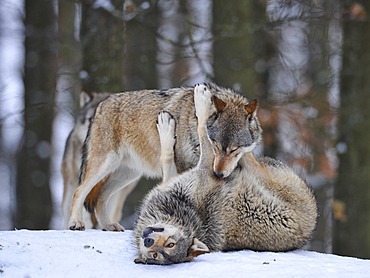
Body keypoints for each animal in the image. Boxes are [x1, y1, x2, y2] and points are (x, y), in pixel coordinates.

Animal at [69, 83, 262, 231]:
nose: (219, 174)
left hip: (128, 175)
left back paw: (108, 225)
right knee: (79, 191)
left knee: (100, 196)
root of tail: (101, 105)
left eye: (234, 150)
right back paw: (76, 223)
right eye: (215, 145)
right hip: (104, 166)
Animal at [134, 83, 318, 264]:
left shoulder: (202, 169)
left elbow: (201, 129)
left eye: (170, 244)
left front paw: (200, 101)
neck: (189, 212)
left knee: (248, 152)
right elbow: (171, 154)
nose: (147, 240)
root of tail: (313, 222)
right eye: (154, 255)